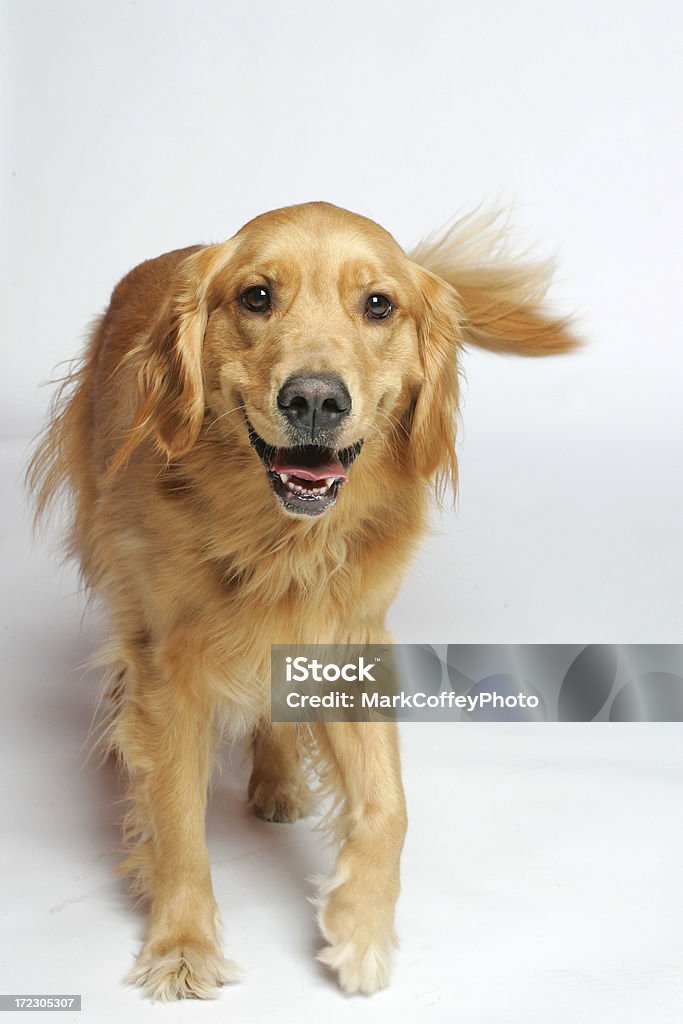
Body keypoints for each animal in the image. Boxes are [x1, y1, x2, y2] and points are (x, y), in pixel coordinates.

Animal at [29, 201, 581, 999]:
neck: (279, 543)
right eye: (256, 296)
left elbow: (389, 806)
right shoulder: (169, 667)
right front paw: (183, 943)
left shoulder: (351, 639)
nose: (315, 399)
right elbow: (177, 817)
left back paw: (279, 778)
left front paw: (360, 927)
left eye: (378, 304)